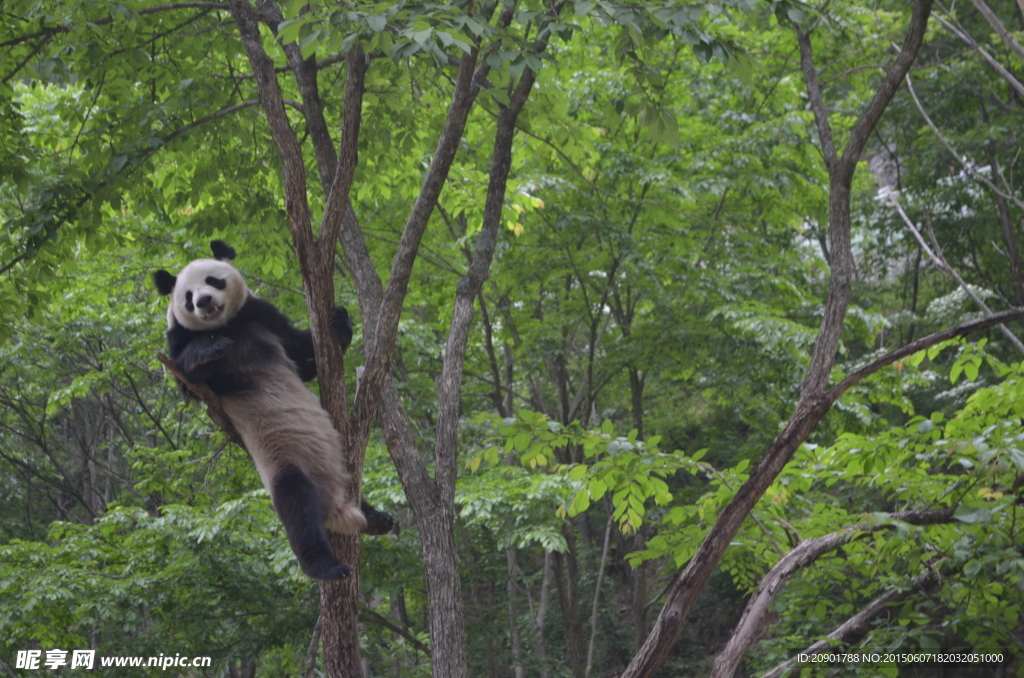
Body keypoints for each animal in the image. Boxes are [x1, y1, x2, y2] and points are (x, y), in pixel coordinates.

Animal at [154, 241, 391, 581]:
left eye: (213, 281)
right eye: (187, 296)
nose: (203, 301)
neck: (226, 324)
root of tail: (334, 507)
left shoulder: (261, 316)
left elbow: (303, 356)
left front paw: (340, 323)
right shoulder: (180, 340)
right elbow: (188, 381)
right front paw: (210, 348)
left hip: (338, 469)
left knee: (352, 494)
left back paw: (377, 519)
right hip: (284, 460)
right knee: (297, 508)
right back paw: (327, 566)